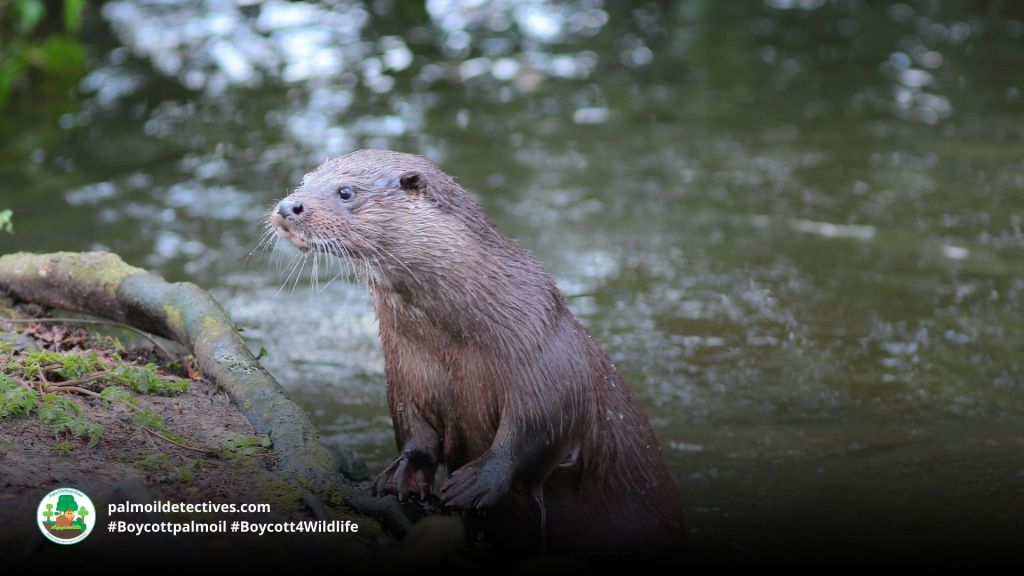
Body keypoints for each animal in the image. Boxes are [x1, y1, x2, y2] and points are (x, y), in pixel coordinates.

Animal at [270, 149, 682, 554]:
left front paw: (477, 482)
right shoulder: (405, 371)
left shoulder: (546, 363)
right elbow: (413, 429)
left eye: (345, 192)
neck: (463, 334)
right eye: (303, 180)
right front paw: (402, 474)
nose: (289, 206)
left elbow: (535, 432)